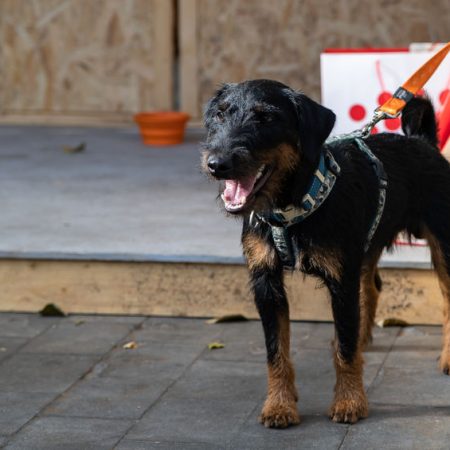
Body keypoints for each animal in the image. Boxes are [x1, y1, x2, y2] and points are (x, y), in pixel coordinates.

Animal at [201, 79, 450, 428]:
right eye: (219, 115)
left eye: (266, 118)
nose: (217, 164)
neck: (292, 208)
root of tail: (422, 141)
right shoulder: (266, 283)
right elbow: (275, 349)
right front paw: (279, 405)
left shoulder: (340, 280)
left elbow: (343, 350)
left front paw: (349, 402)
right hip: (365, 246)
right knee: (371, 288)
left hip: (442, 243)